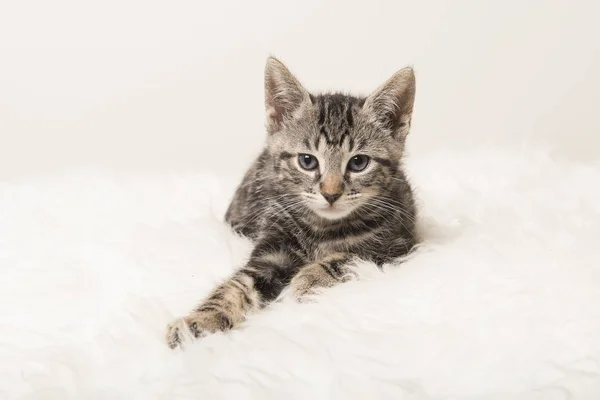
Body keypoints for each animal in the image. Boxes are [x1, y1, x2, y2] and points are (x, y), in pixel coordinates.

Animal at [165, 57, 418, 348]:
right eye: (307, 161)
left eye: (359, 162)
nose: (331, 193)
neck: (323, 229)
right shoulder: (272, 247)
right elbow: (237, 286)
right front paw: (198, 321)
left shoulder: (397, 244)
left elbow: (351, 256)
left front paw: (309, 277)